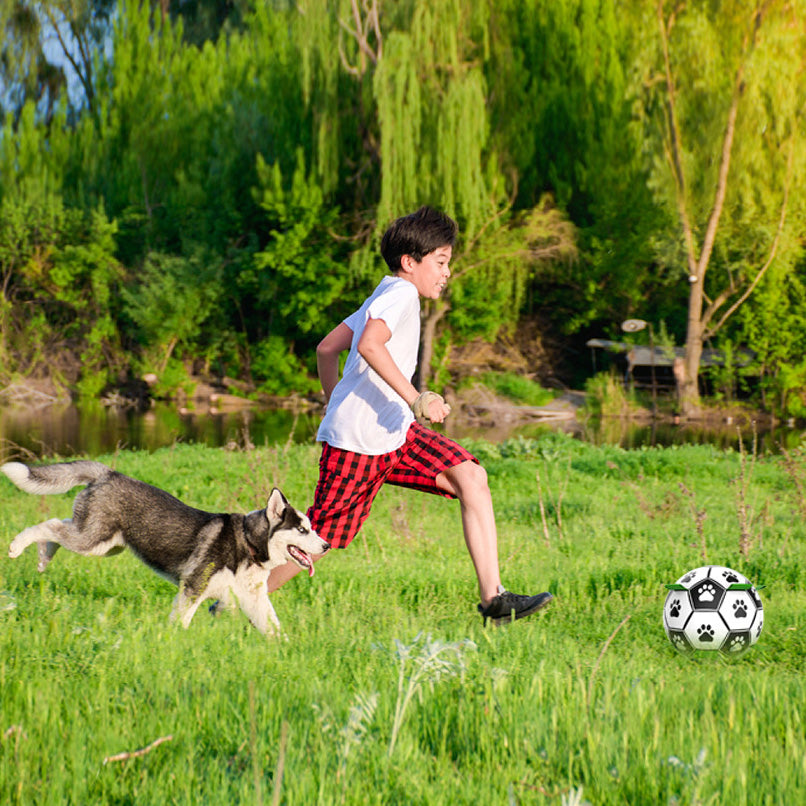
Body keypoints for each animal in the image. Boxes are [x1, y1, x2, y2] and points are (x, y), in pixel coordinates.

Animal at [2, 460, 332, 636]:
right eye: (302, 530)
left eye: (312, 528)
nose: (327, 544)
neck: (248, 543)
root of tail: (109, 473)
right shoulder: (194, 588)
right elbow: (181, 622)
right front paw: (175, 641)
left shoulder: (255, 600)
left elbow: (275, 630)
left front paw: (288, 653)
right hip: (92, 541)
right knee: (48, 526)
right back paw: (17, 546)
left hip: (104, 544)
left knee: (57, 526)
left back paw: (43, 557)